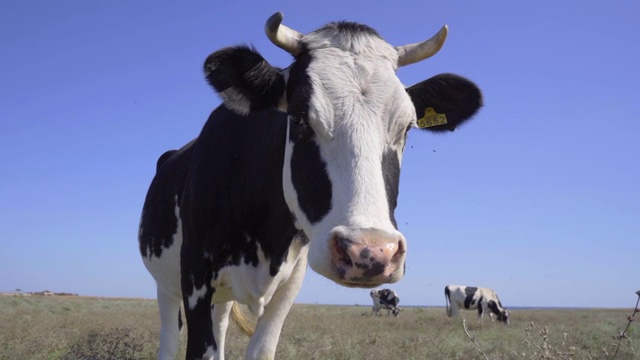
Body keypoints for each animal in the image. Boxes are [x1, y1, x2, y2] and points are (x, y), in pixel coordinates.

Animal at [138, 11, 482, 360]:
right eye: (299, 117)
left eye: (408, 128)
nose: (369, 253)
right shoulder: (194, 275)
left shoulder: (290, 283)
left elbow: (261, 349)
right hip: (167, 285)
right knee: (169, 336)